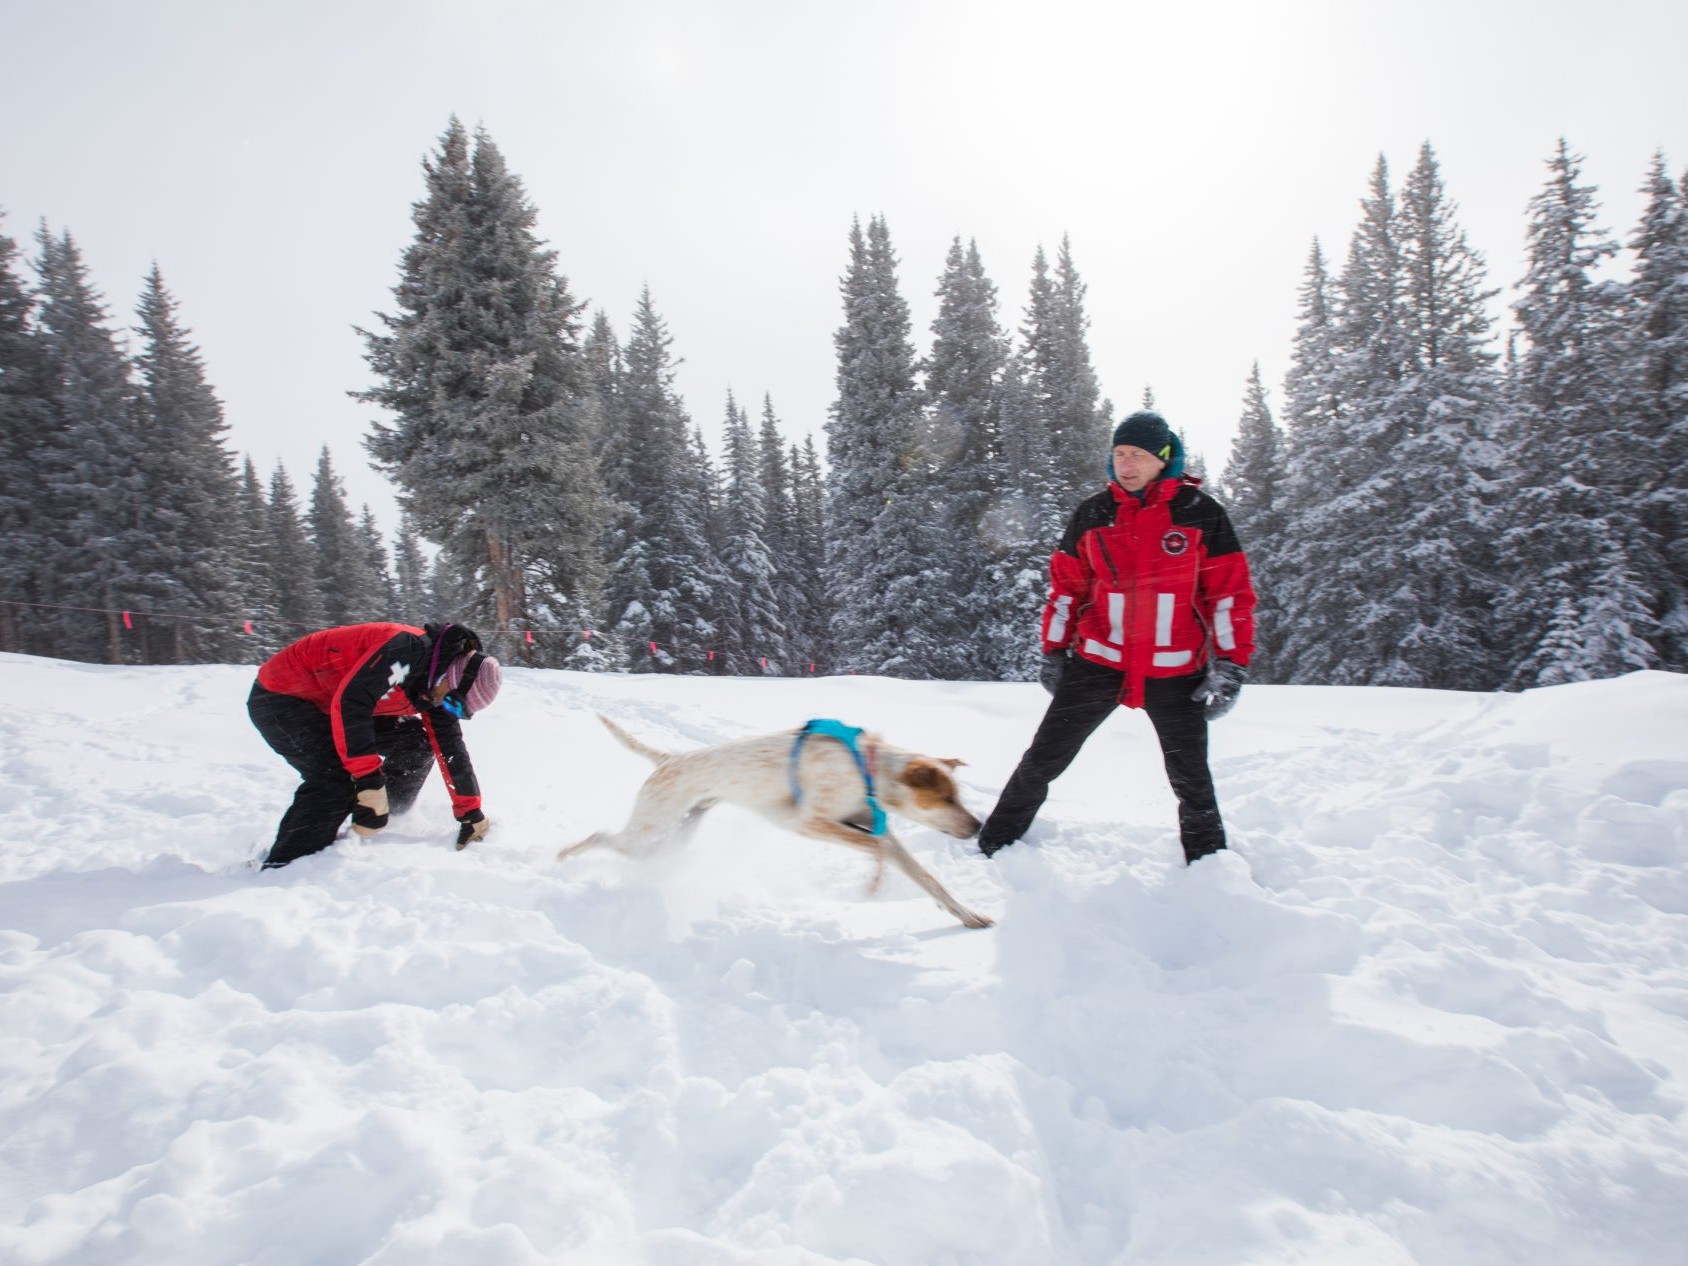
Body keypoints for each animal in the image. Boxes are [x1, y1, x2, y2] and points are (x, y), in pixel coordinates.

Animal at [560, 715, 992, 931]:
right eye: (947, 798)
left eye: (959, 796)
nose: (977, 827)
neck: (868, 769)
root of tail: (669, 758)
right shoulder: (808, 823)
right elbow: (876, 849)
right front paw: (872, 885)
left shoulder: (876, 829)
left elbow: (929, 880)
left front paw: (968, 914)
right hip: (649, 834)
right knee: (598, 836)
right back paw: (563, 858)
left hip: (672, 839)